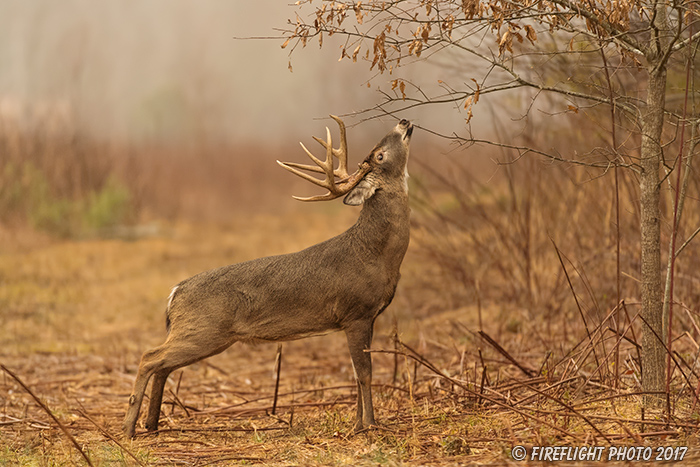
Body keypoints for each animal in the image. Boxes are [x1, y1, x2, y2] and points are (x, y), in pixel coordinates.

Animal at [123, 116, 412, 438]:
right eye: (380, 155)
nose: (403, 122)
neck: (374, 253)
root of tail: (176, 291)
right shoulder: (355, 313)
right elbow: (364, 373)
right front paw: (370, 425)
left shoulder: (367, 317)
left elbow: (357, 372)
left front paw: (359, 422)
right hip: (202, 330)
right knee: (149, 357)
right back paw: (129, 427)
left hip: (206, 335)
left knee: (162, 366)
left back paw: (151, 424)